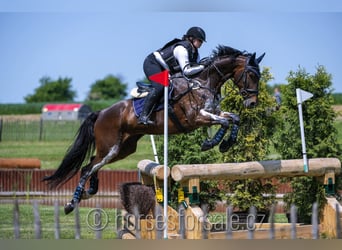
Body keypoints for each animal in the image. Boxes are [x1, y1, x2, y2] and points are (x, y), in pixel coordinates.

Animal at [42, 44, 266, 213]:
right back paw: (71, 203)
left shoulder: (214, 113)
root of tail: (102, 112)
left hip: (122, 149)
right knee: (88, 167)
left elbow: (233, 119)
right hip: (110, 147)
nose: (252, 103)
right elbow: (225, 122)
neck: (203, 82)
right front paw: (211, 143)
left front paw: (225, 143)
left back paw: (89, 192)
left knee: (92, 164)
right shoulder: (197, 118)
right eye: (251, 74)